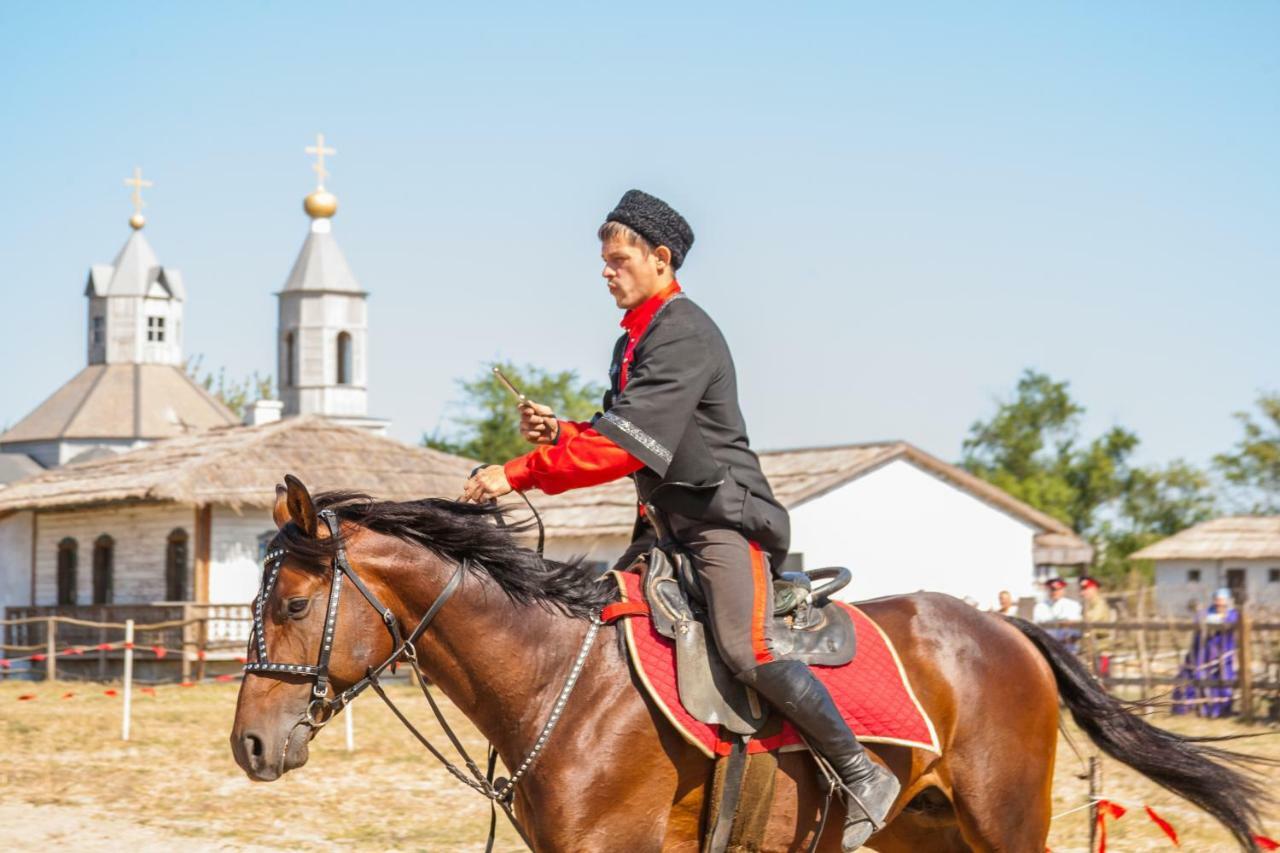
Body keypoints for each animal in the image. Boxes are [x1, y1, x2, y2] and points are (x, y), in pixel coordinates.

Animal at [230, 479, 1269, 850]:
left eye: (292, 606)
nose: (249, 744)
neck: (563, 679)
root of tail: (1008, 628)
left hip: (1005, 822)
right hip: (925, 832)